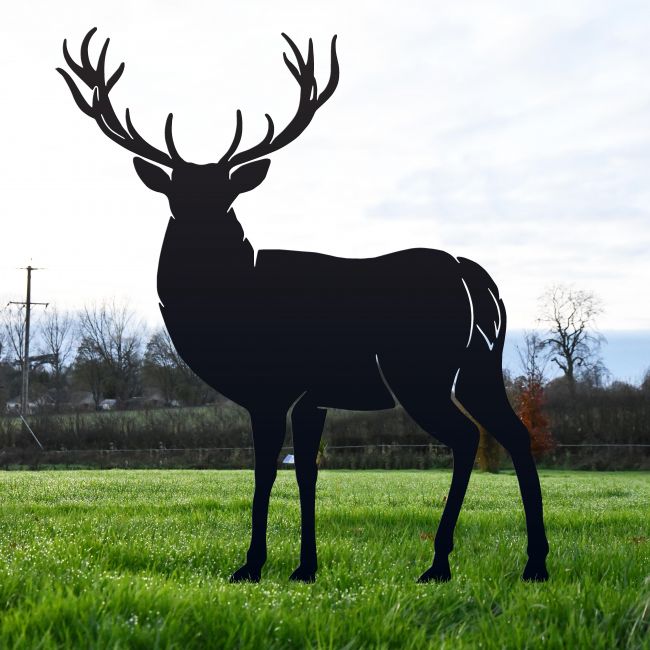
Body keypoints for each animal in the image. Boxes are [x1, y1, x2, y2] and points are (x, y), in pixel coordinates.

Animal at [57, 28, 549, 584]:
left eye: (227, 198)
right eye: (173, 198)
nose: (200, 239)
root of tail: (474, 276)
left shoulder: (271, 388)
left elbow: (266, 470)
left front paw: (251, 564)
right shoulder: (313, 395)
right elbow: (308, 472)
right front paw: (304, 567)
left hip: (420, 369)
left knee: (467, 437)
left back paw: (440, 563)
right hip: (481, 364)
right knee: (515, 432)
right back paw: (534, 563)